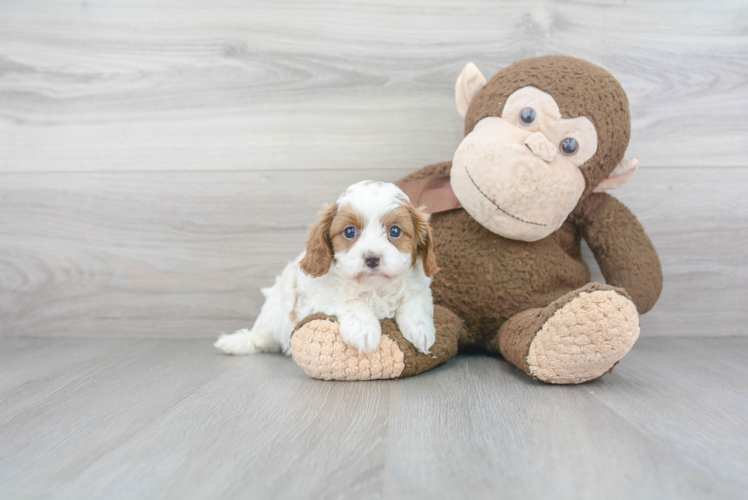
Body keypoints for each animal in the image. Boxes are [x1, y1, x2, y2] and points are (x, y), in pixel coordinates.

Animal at [213, 182, 438, 358]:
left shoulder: (420, 288)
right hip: (273, 316)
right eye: (349, 232)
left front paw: (421, 330)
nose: (372, 258)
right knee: (259, 337)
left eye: (395, 231)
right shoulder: (316, 299)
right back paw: (235, 343)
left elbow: (413, 300)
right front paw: (363, 329)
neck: (373, 287)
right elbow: (348, 300)